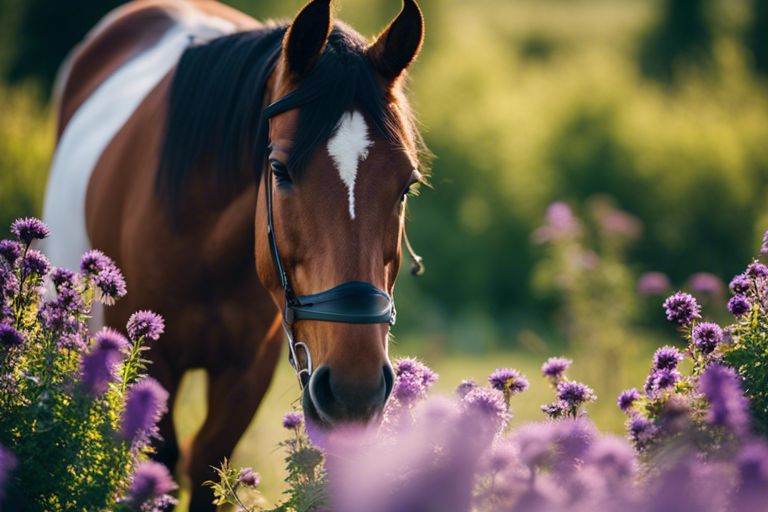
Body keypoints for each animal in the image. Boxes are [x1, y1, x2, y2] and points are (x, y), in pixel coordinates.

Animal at [41, 0, 427, 508]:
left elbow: (210, 463)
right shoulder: (151, 359)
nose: (354, 389)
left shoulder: (248, 372)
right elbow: (162, 464)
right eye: (279, 170)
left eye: (407, 185)